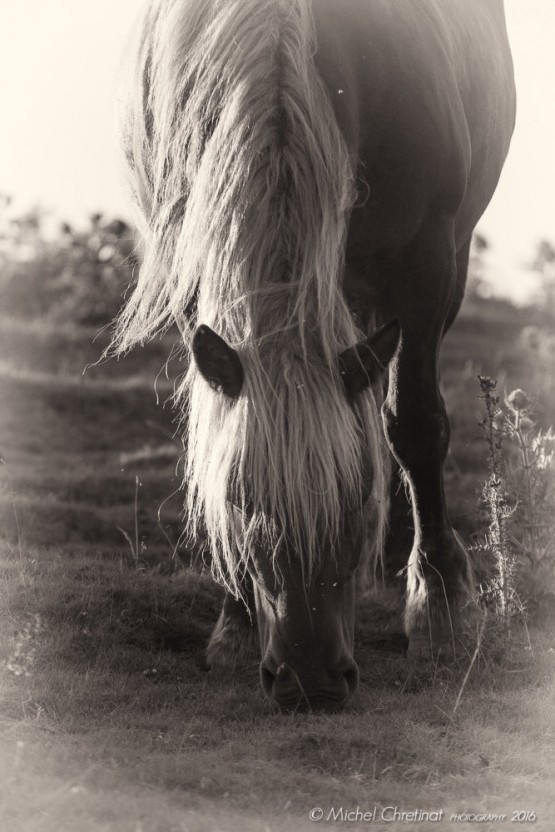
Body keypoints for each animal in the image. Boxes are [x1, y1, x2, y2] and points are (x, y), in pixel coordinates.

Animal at [113, 0, 515, 710]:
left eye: (352, 499)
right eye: (239, 500)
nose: (310, 682)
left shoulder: (425, 263)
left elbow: (415, 426)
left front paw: (439, 606)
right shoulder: (195, 267)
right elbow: (215, 438)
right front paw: (235, 625)